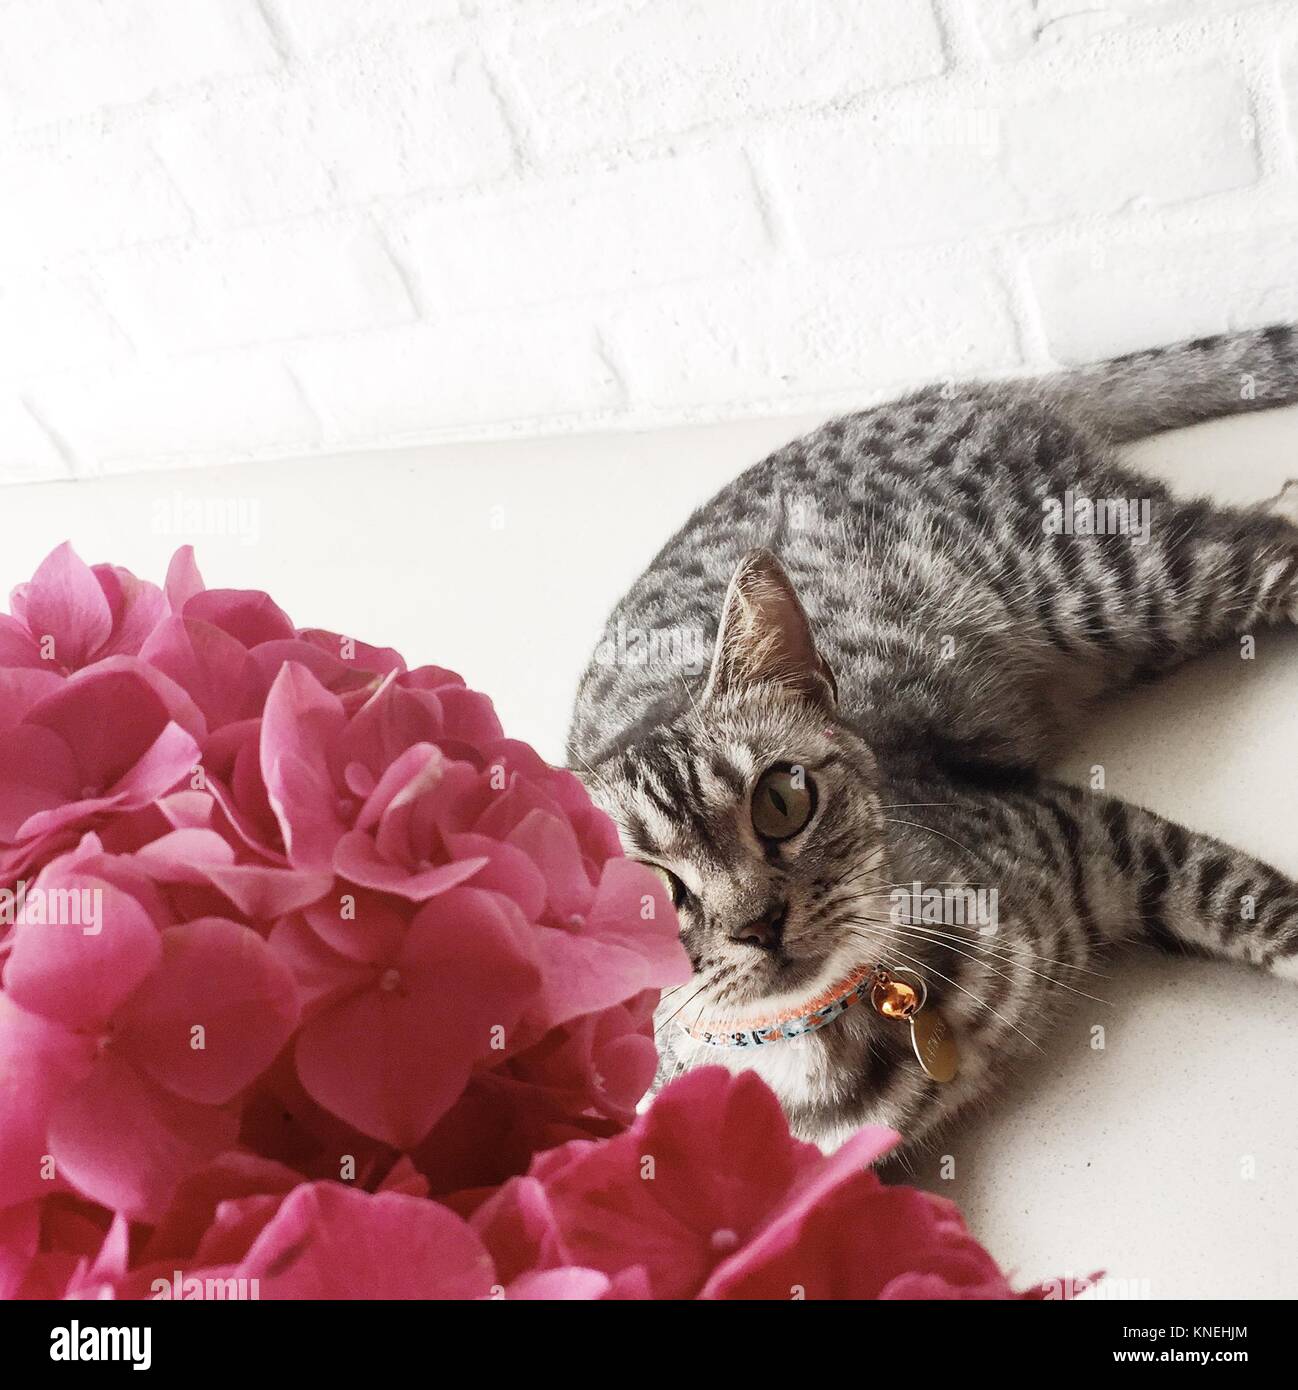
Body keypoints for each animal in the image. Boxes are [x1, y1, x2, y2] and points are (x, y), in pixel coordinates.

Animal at [569, 319, 1298, 1156]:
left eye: (783, 801)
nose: (759, 921)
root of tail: (958, 391)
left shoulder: (1082, 825)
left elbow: (1250, 901)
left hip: (1112, 581)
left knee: (1272, 543)